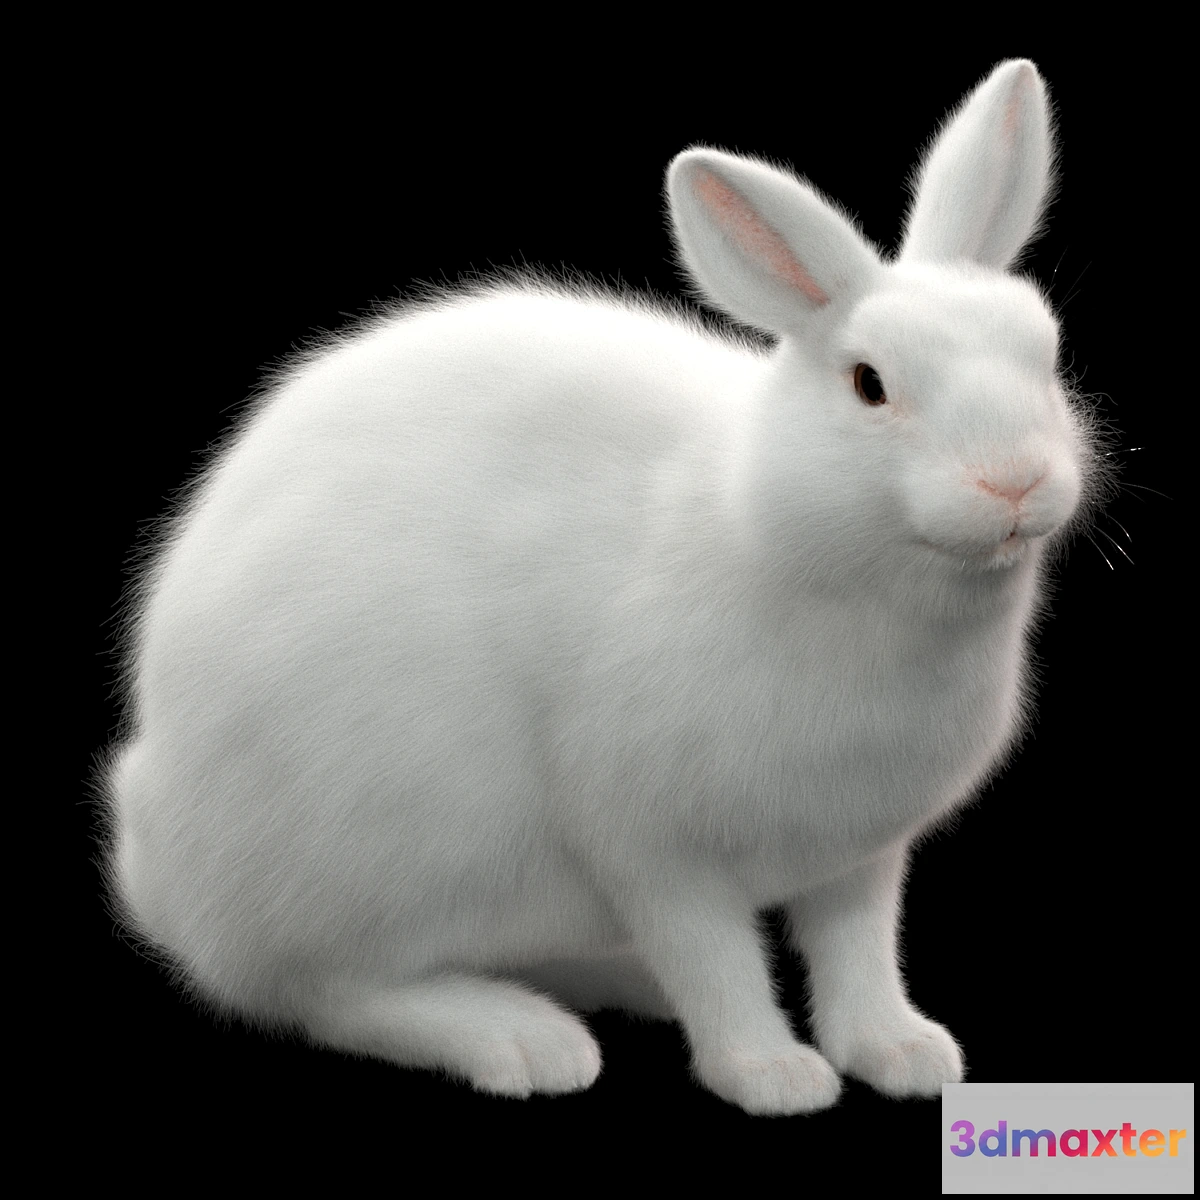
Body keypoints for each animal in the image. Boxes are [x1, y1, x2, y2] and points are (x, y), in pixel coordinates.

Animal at [95, 58, 1108, 1117]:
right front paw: (771, 1074)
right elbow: (715, 962)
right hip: (387, 855)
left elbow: (859, 957)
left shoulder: (861, 857)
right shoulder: (652, 845)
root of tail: (167, 879)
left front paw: (905, 1054)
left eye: (1044, 354)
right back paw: (523, 1038)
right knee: (329, 989)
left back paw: (617, 983)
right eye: (870, 383)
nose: (1016, 484)